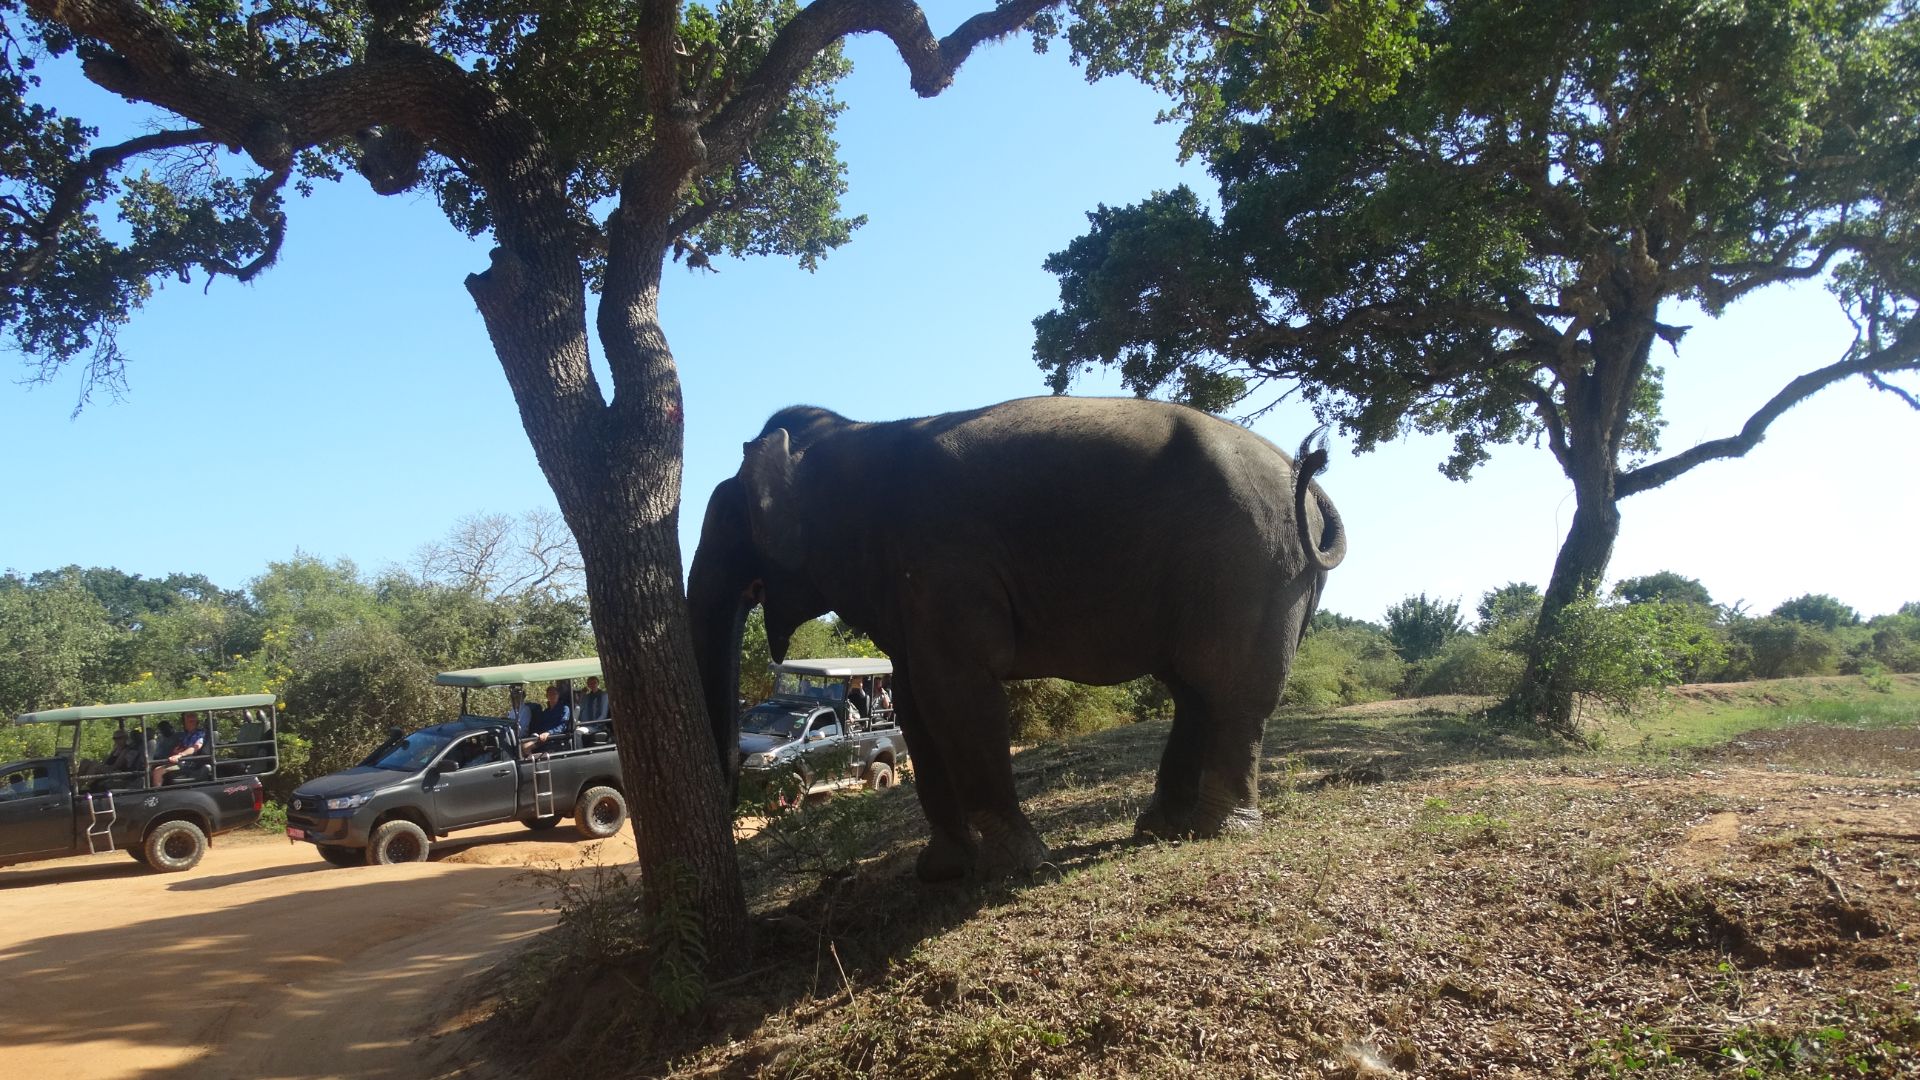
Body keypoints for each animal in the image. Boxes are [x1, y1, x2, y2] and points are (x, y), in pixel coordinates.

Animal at [688, 395, 1346, 881]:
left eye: (727, 521)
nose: (740, 783)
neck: (851, 437)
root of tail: (1308, 482)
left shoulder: (943, 559)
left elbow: (959, 694)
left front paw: (1017, 868)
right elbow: (918, 706)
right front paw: (942, 872)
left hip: (1251, 562)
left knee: (1233, 691)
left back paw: (1218, 830)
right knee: (1195, 690)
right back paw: (1161, 829)